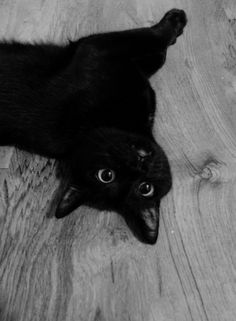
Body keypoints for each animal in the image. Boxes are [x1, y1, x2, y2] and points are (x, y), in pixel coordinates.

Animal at [0, 8, 186, 244]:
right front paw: (176, 20)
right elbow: (148, 38)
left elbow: (153, 55)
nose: (139, 164)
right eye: (106, 175)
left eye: (145, 188)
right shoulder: (95, 50)